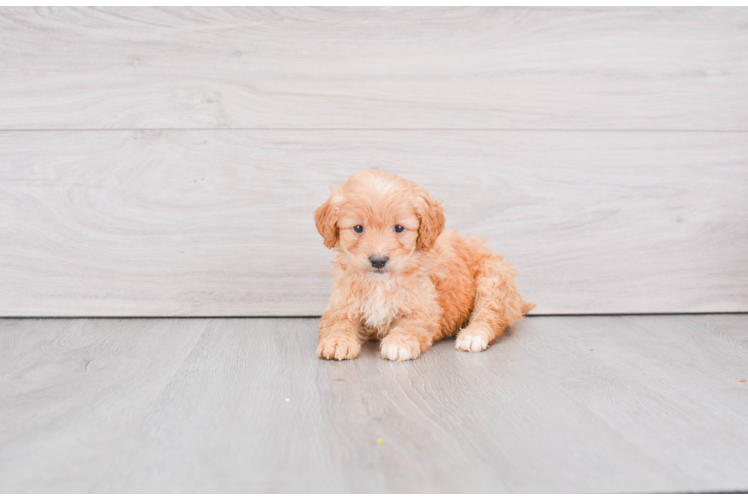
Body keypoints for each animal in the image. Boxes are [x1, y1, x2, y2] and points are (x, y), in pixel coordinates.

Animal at [312, 170, 536, 362]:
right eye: (358, 228)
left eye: (399, 228)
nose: (378, 260)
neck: (381, 283)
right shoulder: (341, 304)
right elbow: (338, 321)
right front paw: (337, 341)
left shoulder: (425, 309)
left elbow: (412, 324)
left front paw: (399, 343)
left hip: (493, 278)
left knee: (490, 314)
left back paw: (473, 336)